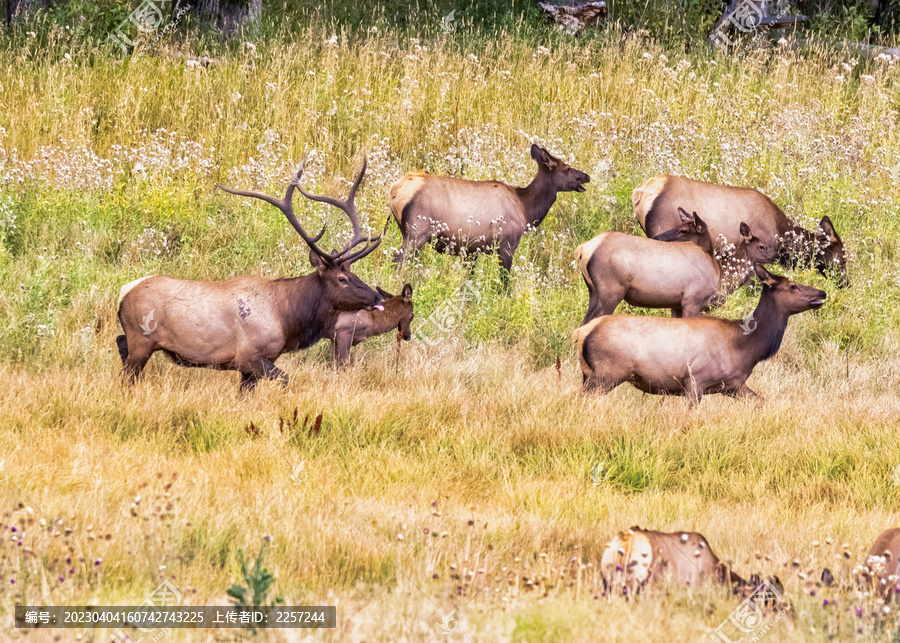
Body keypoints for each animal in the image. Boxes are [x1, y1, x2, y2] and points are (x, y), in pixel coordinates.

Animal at [118, 157, 388, 398]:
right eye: (341, 278)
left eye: (353, 273)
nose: (376, 297)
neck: (287, 318)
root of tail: (123, 293)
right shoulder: (249, 356)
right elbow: (285, 380)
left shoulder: (256, 365)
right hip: (141, 340)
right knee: (126, 374)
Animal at [388, 146, 592, 272]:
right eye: (567, 168)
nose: (586, 176)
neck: (526, 209)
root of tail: (396, 190)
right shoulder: (507, 243)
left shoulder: (471, 250)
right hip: (417, 232)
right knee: (397, 261)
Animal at [572, 266, 828, 408]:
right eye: (793, 286)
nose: (822, 292)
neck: (746, 347)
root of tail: (582, 332)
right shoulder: (695, 380)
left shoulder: (733, 385)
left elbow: (761, 402)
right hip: (607, 373)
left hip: (589, 374)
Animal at [576, 209, 772, 324]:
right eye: (762, 246)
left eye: (682, 229)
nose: (775, 255)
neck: (721, 275)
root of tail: (583, 249)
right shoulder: (692, 300)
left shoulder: (676, 304)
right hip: (611, 290)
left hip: (594, 291)